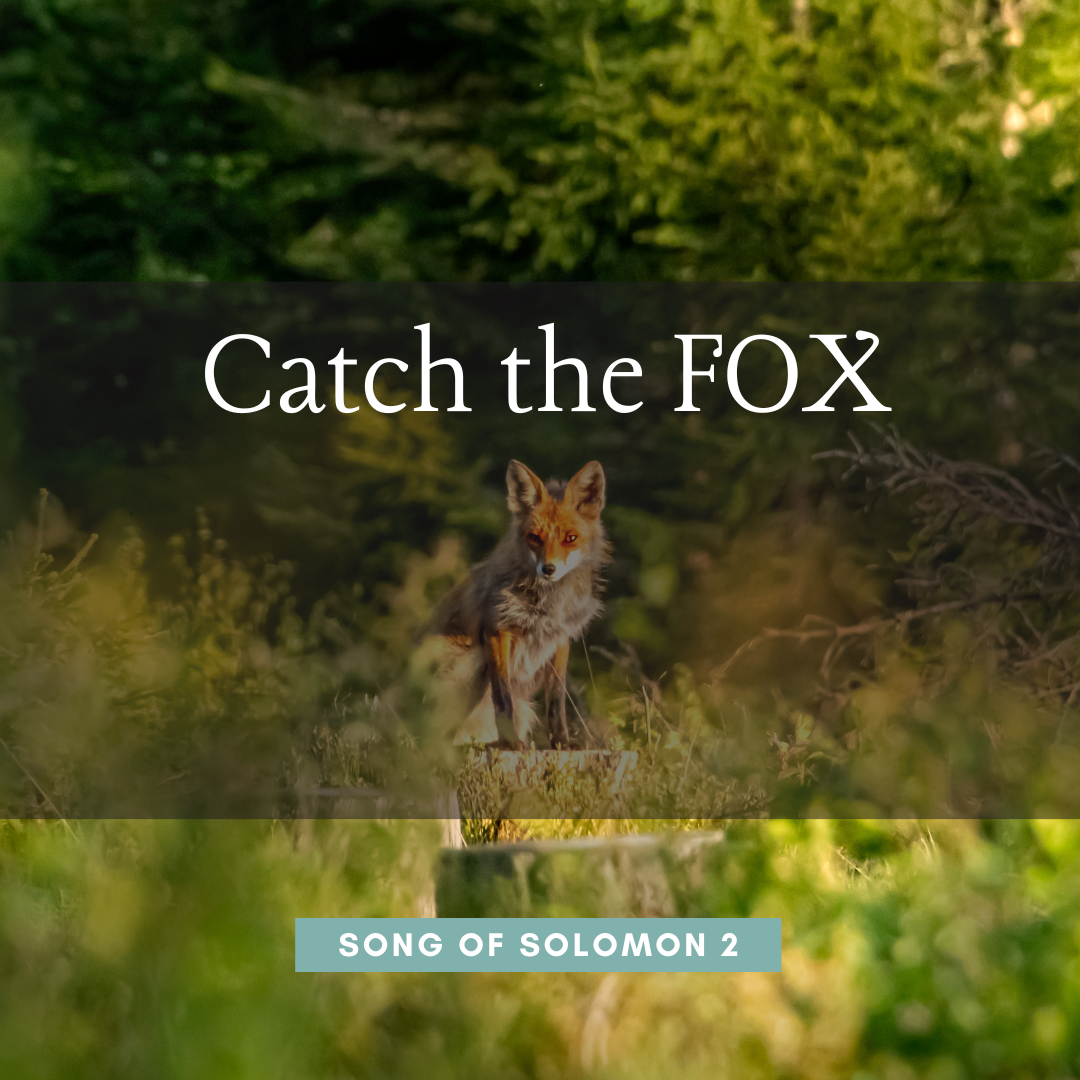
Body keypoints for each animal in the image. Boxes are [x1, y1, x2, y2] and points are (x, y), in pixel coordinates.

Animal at [433, 459, 611, 749]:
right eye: (534, 537)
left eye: (570, 538)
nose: (548, 569)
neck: (547, 605)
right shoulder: (497, 630)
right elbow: (502, 698)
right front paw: (511, 743)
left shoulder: (559, 639)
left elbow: (556, 701)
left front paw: (562, 743)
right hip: (470, 662)